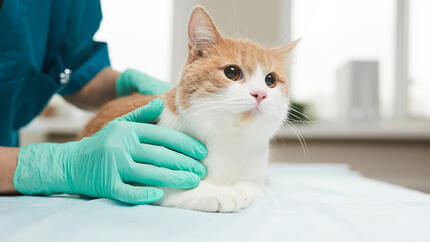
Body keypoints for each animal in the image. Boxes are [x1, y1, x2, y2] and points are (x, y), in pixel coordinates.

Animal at [81, 6, 298, 213]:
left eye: (270, 80)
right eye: (232, 72)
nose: (260, 94)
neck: (230, 140)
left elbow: (253, 186)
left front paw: (242, 190)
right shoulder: (149, 175)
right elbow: (179, 184)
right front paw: (220, 193)